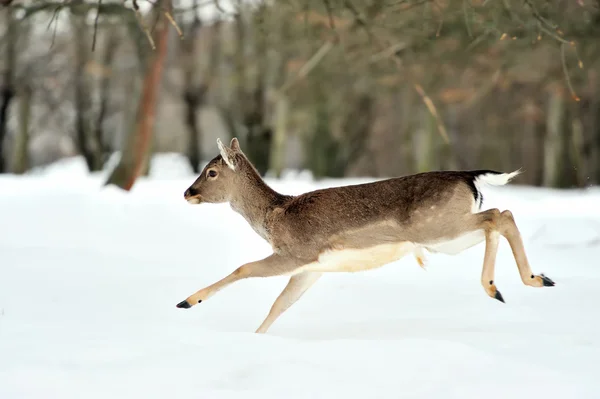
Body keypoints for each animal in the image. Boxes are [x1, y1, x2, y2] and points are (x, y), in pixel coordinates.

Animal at [176, 138, 556, 334]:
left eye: (211, 172)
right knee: (501, 216)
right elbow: (280, 304)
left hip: (438, 228)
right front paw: (256, 338)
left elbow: (243, 268)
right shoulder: (311, 267)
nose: (187, 192)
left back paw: (496, 287)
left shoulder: (297, 252)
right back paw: (536, 279)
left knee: (497, 216)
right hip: (446, 236)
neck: (275, 217)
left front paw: (187, 301)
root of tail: (468, 176)